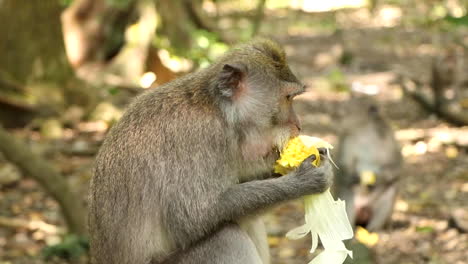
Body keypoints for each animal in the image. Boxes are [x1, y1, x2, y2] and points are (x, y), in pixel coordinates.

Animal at [89, 39, 334, 264]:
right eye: (288, 98)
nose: (299, 125)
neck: (219, 112)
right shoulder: (196, 139)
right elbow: (193, 217)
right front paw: (304, 181)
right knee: (225, 238)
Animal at [332, 95, 402, 231]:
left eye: (346, 109)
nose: (336, 114)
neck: (364, 132)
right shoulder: (346, 140)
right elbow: (342, 168)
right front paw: (355, 177)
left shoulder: (388, 138)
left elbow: (395, 166)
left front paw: (379, 178)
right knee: (347, 190)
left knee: (391, 188)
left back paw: (374, 230)